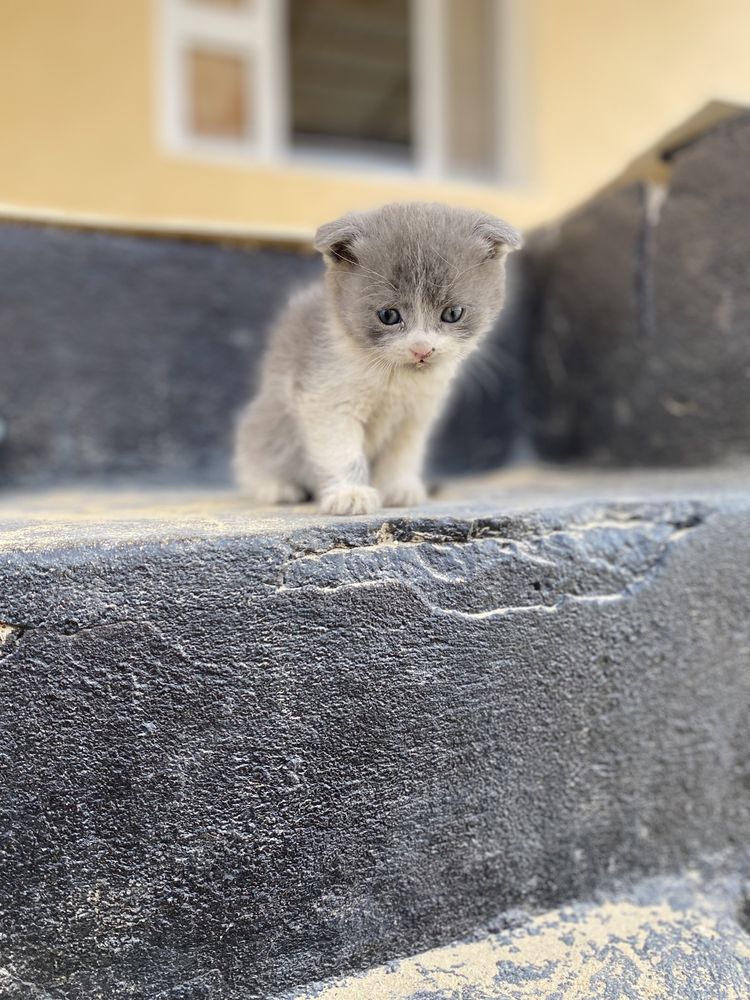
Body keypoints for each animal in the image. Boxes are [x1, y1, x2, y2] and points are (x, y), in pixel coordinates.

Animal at [234, 201, 524, 516]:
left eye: (452, 313)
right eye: (388, 315)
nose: (422, 348)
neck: (393, 378)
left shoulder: (416, 414)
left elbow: (403, 453)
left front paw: (397, 489)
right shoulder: (325, 399)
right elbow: (341, 450)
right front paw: (350, 494)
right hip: (270, 418)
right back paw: (277, 487)